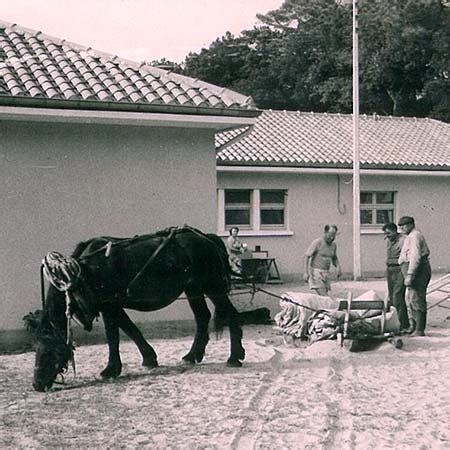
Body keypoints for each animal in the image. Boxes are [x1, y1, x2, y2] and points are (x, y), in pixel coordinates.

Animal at [27, 227, 246, 392]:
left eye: (49, 347)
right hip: (194, 288)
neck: (85, 271)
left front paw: (111, 369)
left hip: (213, 286)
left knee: (231, 315)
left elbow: (113, 335)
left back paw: (235, 357)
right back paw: (192, 355)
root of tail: (207, 238)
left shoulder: (110, 306)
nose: (37, 384)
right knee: (202, 317)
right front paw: (149, 358)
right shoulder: (114, 306)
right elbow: (130, 329)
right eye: (35, 346)